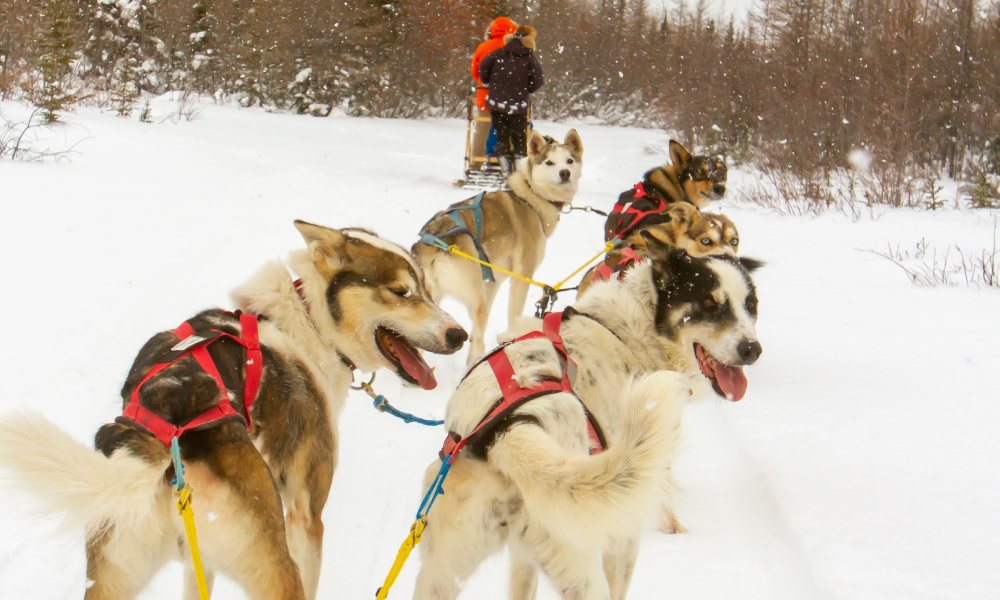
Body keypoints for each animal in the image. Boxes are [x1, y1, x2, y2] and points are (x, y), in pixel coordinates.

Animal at [0, 221, 466, 600]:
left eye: (427, 289)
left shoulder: (199, 563)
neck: (309, 321)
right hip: (275, 566)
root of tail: (165, 426)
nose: (459, 335)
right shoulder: (307, 518)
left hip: (116, 574)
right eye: (401, 292)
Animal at [410, 245, 760, 600]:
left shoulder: (522, 560)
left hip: (442, 573)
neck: (632, 327)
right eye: (709, 305)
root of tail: (511, 430)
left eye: (751, 305)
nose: (752, 349)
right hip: (596, 559)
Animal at [414, 129, 584, 364]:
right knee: (476, 342)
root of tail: (434, 239)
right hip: (477, 302)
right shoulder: (522, 276)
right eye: (549, 162)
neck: (531, 197)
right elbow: (514, 314)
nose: (565, 173)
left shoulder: (493, 282)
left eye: (569, 160)